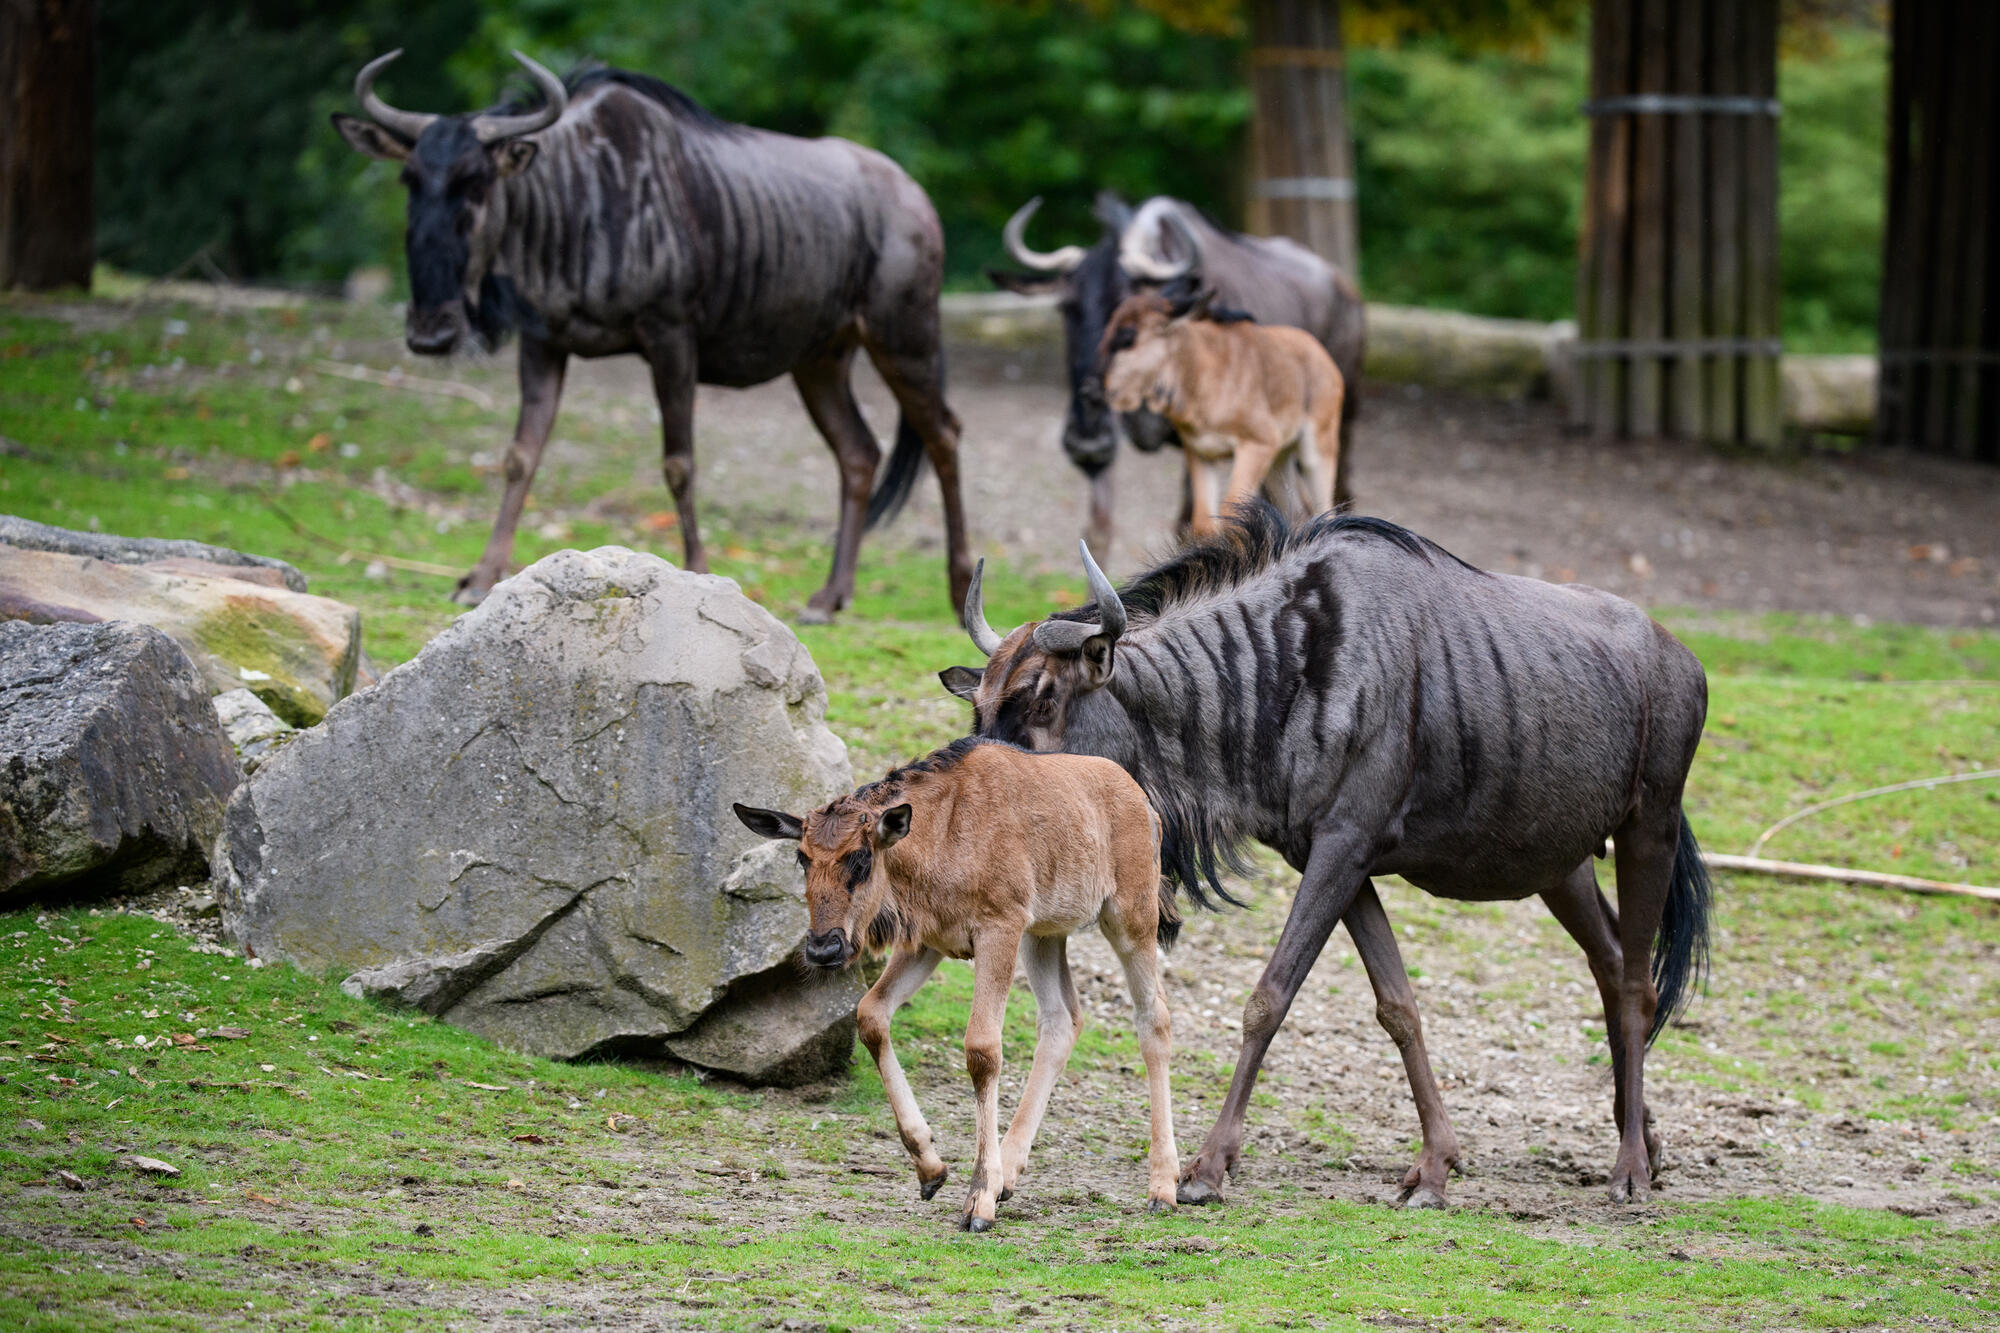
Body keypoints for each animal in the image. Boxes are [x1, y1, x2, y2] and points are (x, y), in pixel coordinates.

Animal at [736, 732, 1176, 1232]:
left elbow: (982, 1049)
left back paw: (1163, 1186)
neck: (938, 837)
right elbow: (871, 1015)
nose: (823, 949)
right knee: (1062, 1019)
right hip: (1043, 934)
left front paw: (978, 1199)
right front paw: (931, 1167)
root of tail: (1146, 806)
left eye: (861, 859)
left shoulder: (998, 927)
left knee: (1154, 1020)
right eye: (802, 858)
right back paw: (1010, 1171)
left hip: (1130, 918)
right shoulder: (925, 943)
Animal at [1096, 286, 1344, 536]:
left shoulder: (1258, 444)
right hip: (1279, 461)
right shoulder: (1201, 454)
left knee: (1326, 511)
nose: (1096, 388)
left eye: (1127, 338)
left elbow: (1231, 515)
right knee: (1300, 513)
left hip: (1316, 451)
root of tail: (1323, 355)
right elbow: (1203, 522)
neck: (1200, 376)